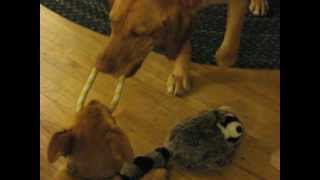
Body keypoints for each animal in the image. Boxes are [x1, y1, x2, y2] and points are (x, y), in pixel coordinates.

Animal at [96, 0, 268, 96]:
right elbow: (183, 44)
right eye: (111, 21)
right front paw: (179, 74)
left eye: (139, 34)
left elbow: (228, 50)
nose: (100, 67)